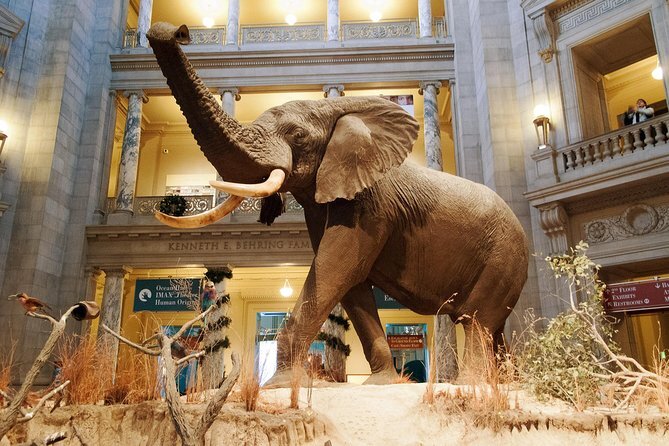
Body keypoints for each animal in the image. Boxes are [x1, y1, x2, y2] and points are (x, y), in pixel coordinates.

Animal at [149, 23, 528, 384]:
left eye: (298, 135)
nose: (179, 32)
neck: (337, 110)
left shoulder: (371, 204)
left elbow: (338, 268)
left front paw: (279, 385)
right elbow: (352, 285)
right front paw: (383, 383)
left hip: (503, 256)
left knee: (476, 321)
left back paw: (473, 385)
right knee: (493, 329)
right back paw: (506, 383)